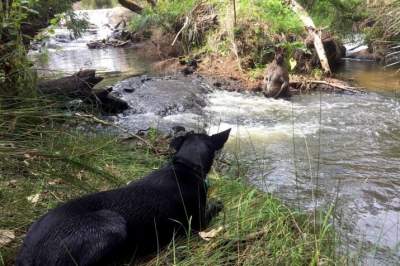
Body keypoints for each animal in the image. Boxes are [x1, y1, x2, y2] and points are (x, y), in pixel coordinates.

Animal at [16, 129, 231, 266]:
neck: (186, 166)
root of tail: (28, 255)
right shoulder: (199, 223)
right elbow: (215, 206)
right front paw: (218, 202)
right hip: (113, 223)